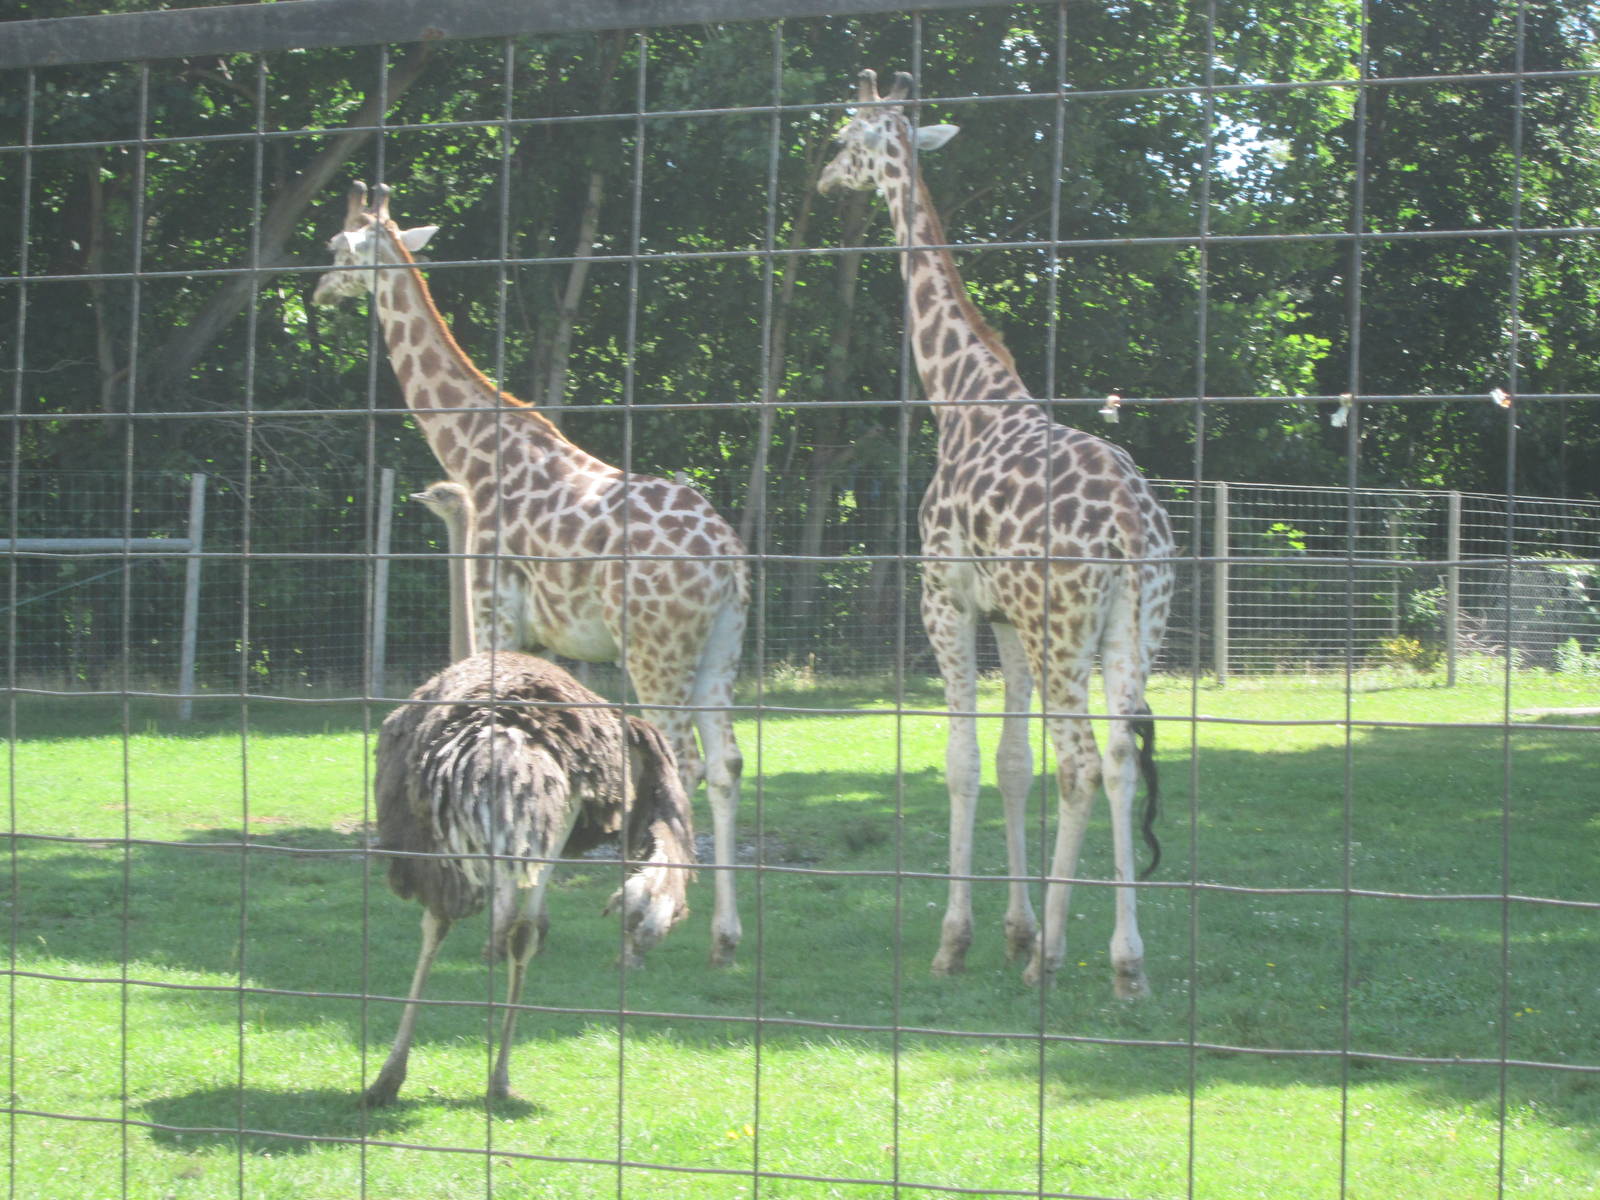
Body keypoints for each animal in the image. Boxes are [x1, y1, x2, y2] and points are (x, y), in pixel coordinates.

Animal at [313, 183, 747, 966]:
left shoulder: (494, 609)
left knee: (685, 763)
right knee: (727, 763)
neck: (473, 449)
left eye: (337, 246)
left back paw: (648, 922)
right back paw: (723, 935)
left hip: (656, 650)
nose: (319, 290)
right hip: (719, 649)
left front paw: (498, 929)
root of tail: (727, 560)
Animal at [819, 71, 1175, 997]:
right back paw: (1127, 963)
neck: (960, 397)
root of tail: (1133, 526)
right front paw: (1013, 931)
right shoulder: (1008, 616)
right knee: (1119, 759)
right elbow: (1014, 764)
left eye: (845, 136)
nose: (826, 179)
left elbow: (963, 762)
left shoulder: (945, 600)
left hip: (1065, 632)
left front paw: (961, 942)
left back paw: (1056, 958)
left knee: (1081, 762)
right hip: (1134, 629)